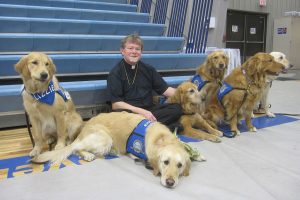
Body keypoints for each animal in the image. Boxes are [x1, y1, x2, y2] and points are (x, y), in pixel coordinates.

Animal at [29, 111, 197, 188]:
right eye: (165, 162)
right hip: (104, 138)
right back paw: (88, 155)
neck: (162, 139)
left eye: (180, 165)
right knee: (75, 148)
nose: (170, 182)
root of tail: (85, 126)